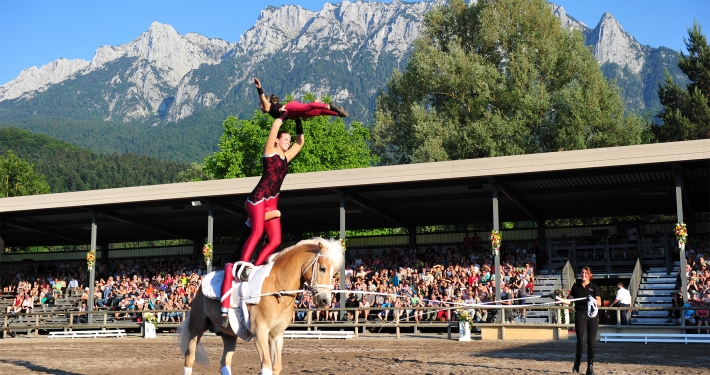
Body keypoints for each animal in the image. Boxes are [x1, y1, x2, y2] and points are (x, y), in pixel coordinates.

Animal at [178, 239, 344, 374]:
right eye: (322, 268)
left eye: (334, 272)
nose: (325, 300)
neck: (277, 287)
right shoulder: (260, 333)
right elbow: (266, 366)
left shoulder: (276, 334)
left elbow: (276, 367)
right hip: (197, 328)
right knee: (189, 358)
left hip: (229, 335)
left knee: (225, 363)